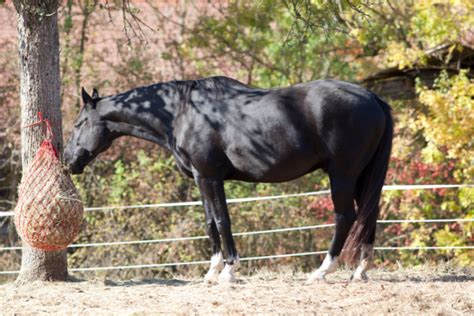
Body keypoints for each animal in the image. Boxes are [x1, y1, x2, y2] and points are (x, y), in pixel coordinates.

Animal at [66, 77, 392, 284]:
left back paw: (322, 271)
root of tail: (373, 98)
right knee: (369, 214)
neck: (182, 113)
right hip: (363, 176)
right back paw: (360, 270)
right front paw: (212, 270)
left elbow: (223, 220)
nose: (69, 160)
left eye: (79, 123)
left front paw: (229, 270)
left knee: (345, 216)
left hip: (343, 174)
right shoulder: (201, 177)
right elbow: (210, 221)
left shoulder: (210, 176)